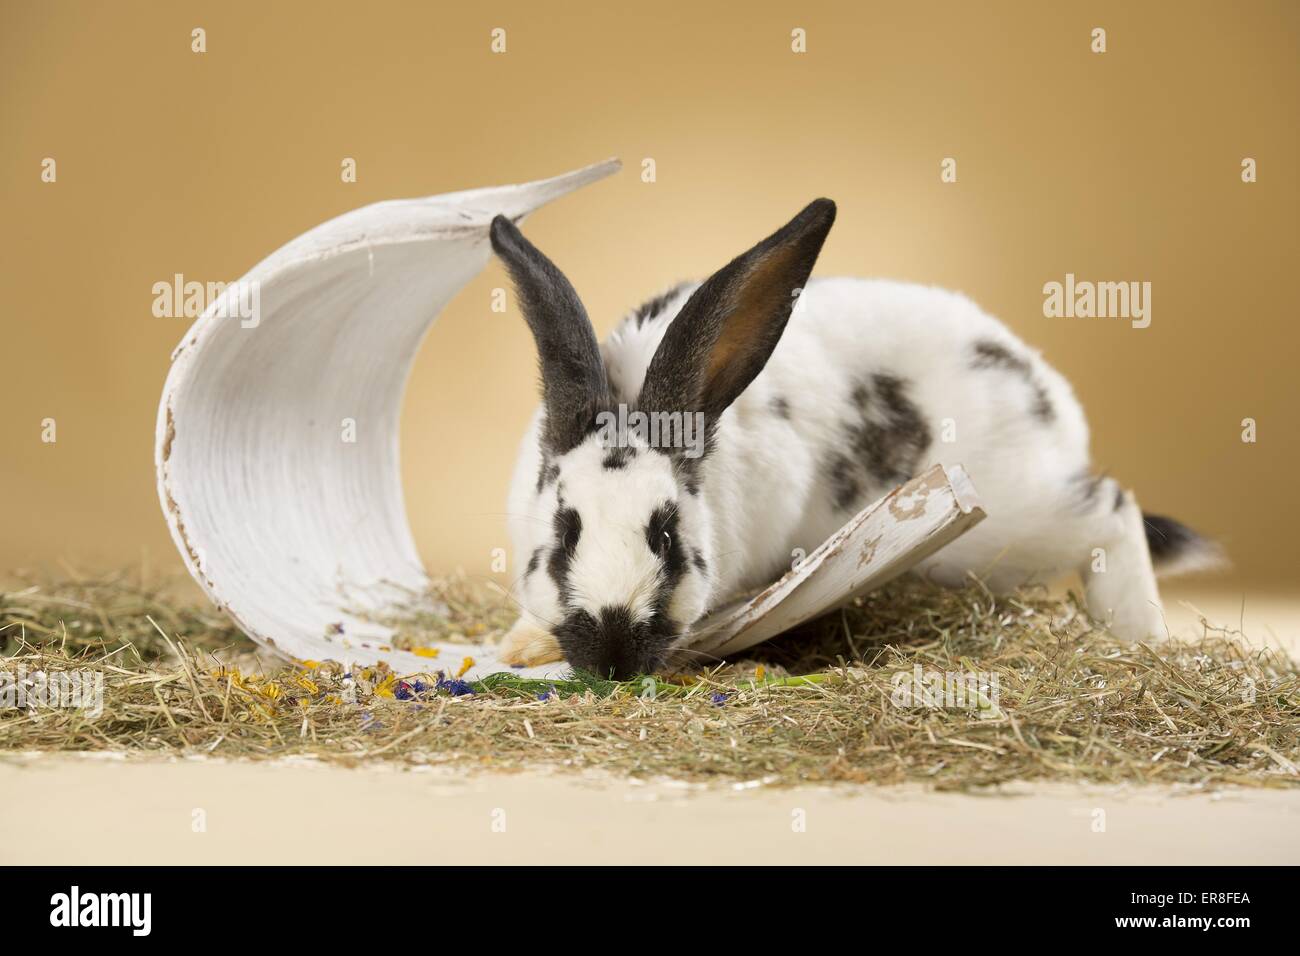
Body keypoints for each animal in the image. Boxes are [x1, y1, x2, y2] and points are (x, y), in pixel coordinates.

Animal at [486, 201, 1216, 681]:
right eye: (564, 535)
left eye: (666, 537)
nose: (612, 659)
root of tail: (1055, 404)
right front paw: (522, 646)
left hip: (1008, 530)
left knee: (1112, 509)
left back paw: (1139, 634)